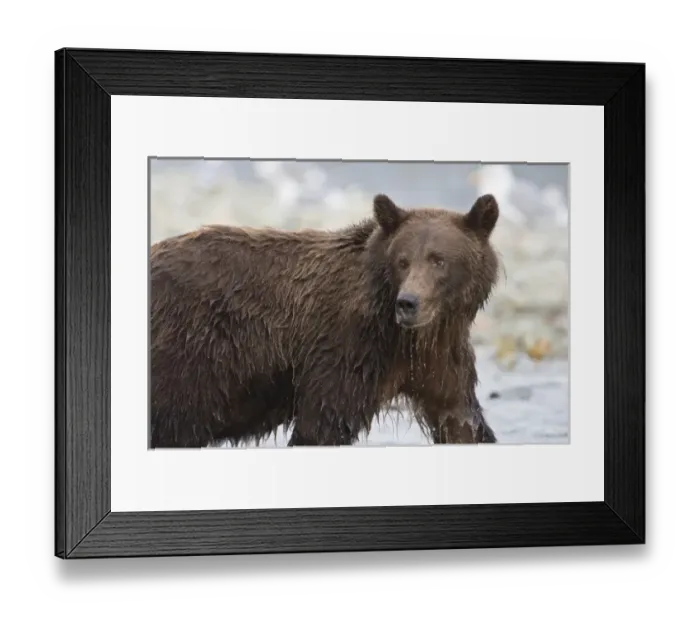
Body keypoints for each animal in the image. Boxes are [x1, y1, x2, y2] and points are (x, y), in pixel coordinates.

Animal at [149, 192, 501, 448]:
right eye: (403, 261)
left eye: (439, 260)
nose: (408, 303)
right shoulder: (346, 348)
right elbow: (322, 424)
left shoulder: (440, 358)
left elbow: (460, 420)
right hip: (191, 352)